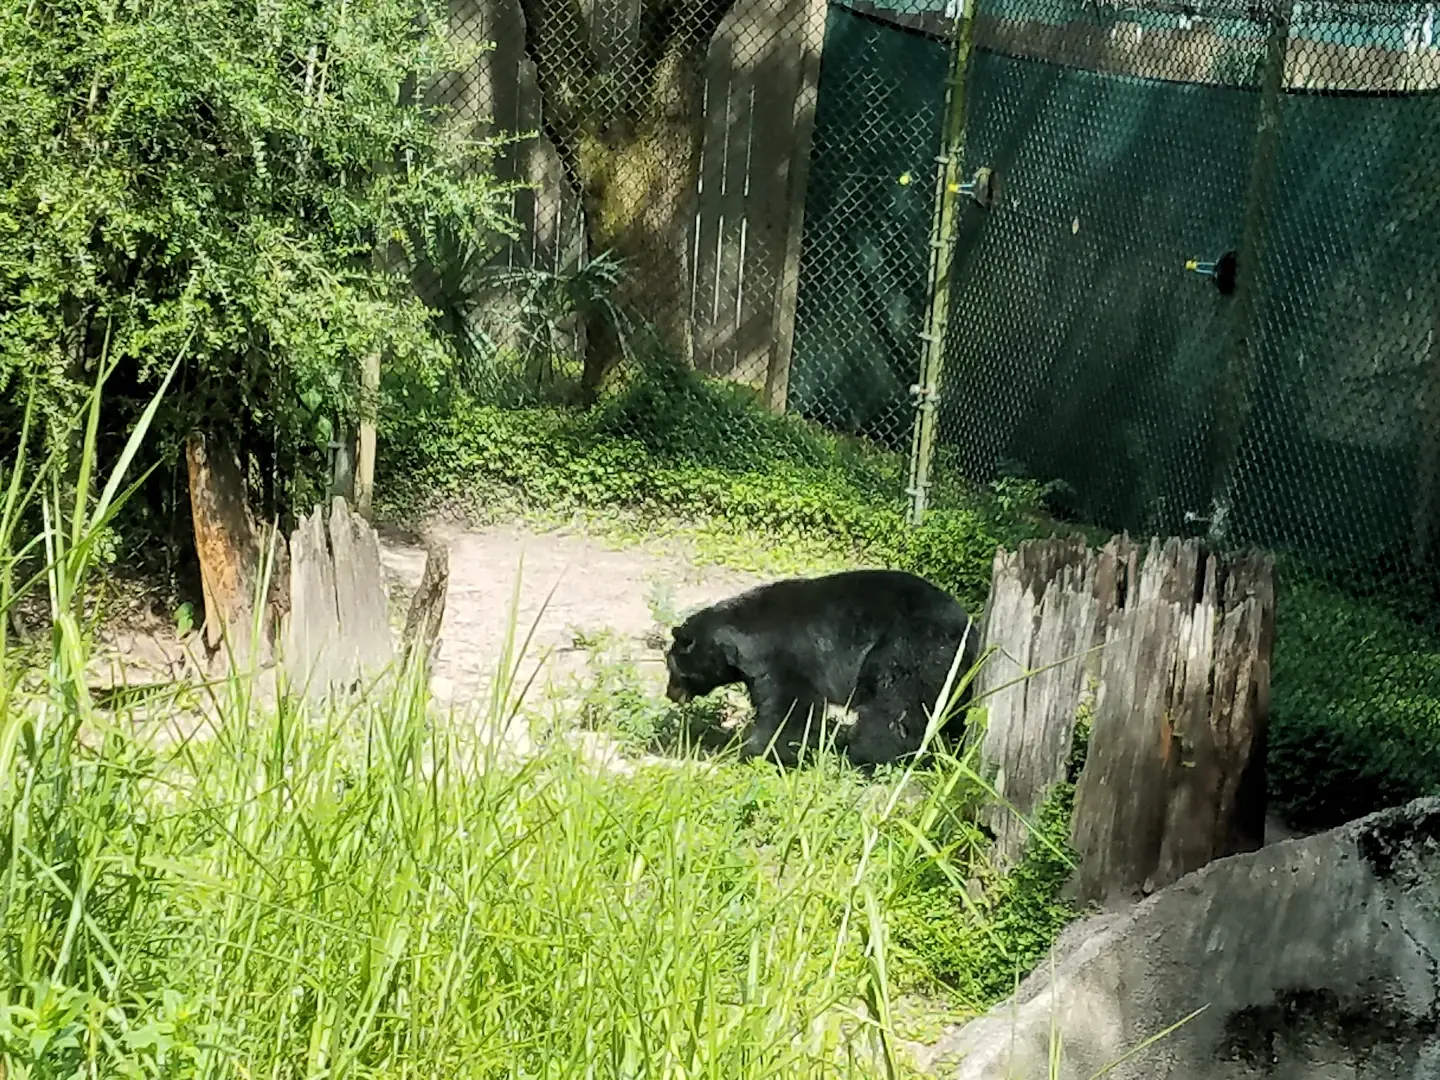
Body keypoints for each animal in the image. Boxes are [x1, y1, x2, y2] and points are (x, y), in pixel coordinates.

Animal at [663, 568, 980, 768]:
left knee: (894, 708)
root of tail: (970, 631)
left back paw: (867, 757)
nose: (670, 693)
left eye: (672, 668)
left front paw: (759, 752)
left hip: (909, 649)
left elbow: (789, 707)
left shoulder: (784, 659)